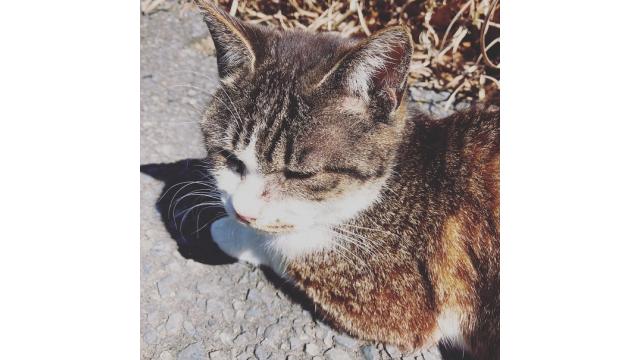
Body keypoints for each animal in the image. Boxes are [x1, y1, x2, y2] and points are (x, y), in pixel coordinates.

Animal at [194, 1, 500, 358]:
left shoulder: (399, 307)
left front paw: (232, 232)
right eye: (230, 159)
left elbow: (288, 250)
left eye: (300, 174)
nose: (243, 212)